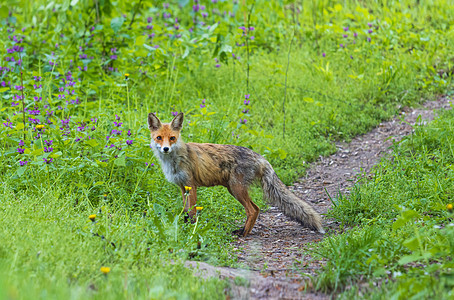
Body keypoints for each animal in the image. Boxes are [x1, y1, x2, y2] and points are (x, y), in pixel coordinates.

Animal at [147, 112, 324, 237]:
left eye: (172, 138)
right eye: (159, 138)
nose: (165, 149)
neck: (175, 161)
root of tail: (260, 157)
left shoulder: (192, 185)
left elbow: (192, 211)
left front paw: (192, 230)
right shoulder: (183, 187)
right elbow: (185, 211)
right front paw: (184, 227)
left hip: (236, 189)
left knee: (252, 210)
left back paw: (243, 233)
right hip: (234, 189)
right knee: (257, 208)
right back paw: (244, 230)